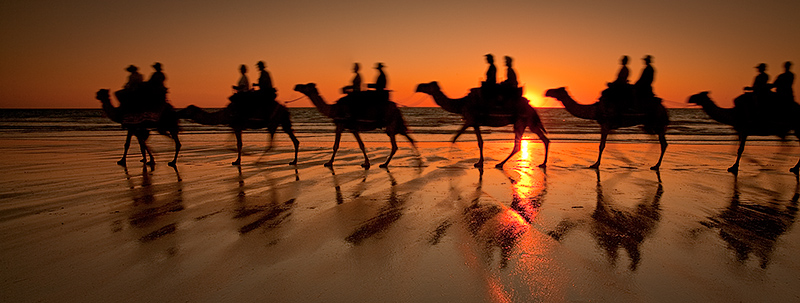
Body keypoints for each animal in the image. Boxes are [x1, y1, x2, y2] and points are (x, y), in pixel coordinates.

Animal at [412, 82, 552, 170]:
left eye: (427, 85)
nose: (417, 86)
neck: (461, 103)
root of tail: (531, 107)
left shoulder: (470, 120)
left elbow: (454, 138)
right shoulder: (475, 124)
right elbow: (480, 142)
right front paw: (479, 163)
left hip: (521, 122)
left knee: (518, 145)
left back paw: (500, 164)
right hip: (528, 123)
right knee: (544, 139)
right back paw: (543, 163)